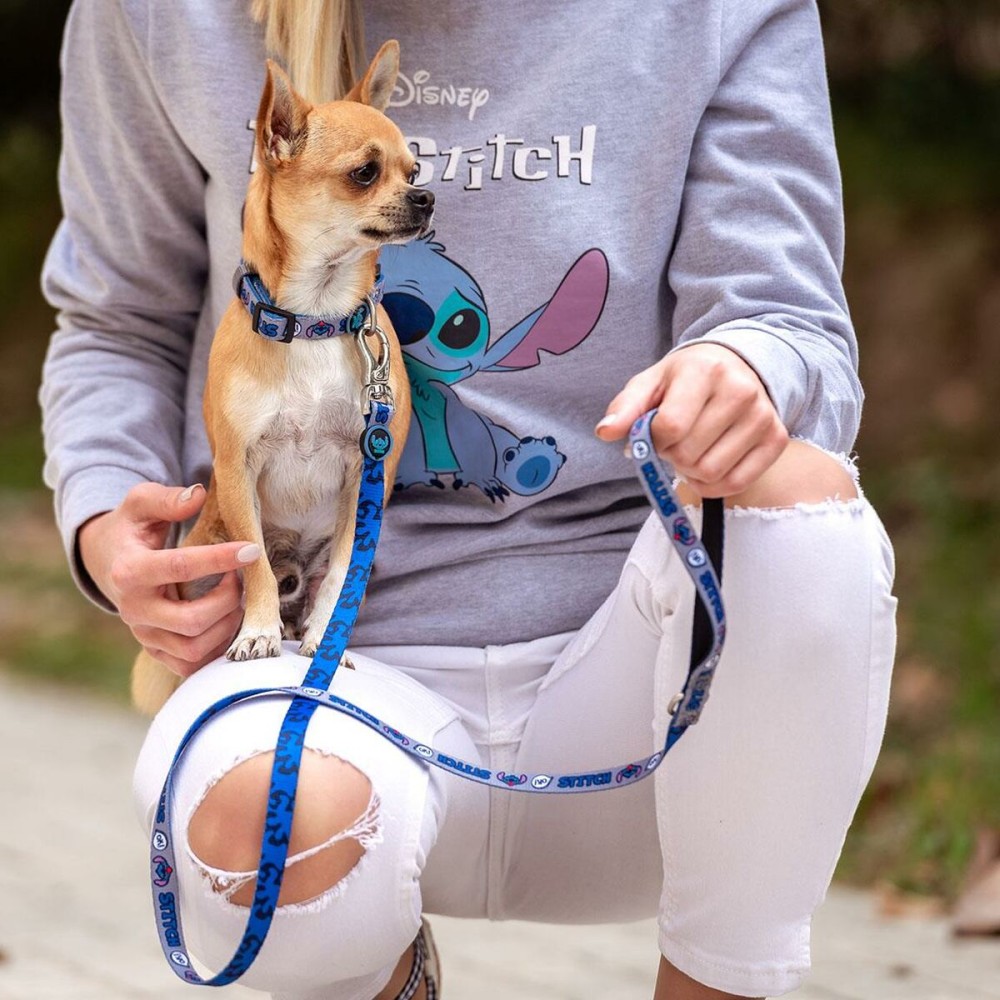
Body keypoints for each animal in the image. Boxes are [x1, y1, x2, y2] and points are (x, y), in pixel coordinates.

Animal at [131, 39, 428, 712]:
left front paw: (325, 641)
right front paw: (258, 633)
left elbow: (343, 572)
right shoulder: (239, 466)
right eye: (365, 173)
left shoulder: (366, 476)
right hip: (204, 558)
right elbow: (256, 567)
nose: (427, 200)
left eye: (415, 170)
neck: (317, 318)